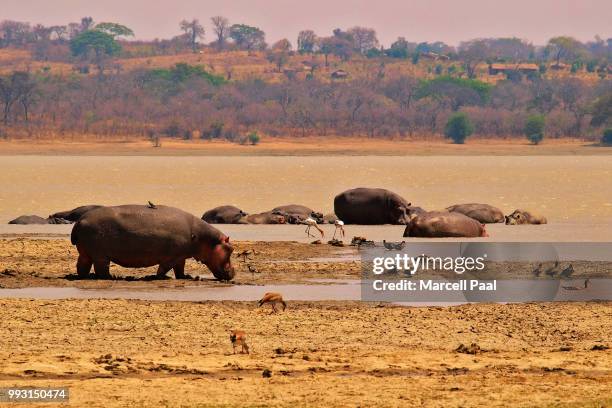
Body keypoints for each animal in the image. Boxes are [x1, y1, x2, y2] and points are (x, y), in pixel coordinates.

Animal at [70, 204, 235, 280]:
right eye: (230, 249)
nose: (234, 272)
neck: (207, 239)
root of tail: (80, 221)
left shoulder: (181, 256)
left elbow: (180, 269)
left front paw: (185, 277)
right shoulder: (171, 257)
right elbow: (164, 268)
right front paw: (161, 277)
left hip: (85, 253)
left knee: (82, 266)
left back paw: (84, 277)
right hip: (100, 255)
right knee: (102, 269)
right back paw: (112, 277)